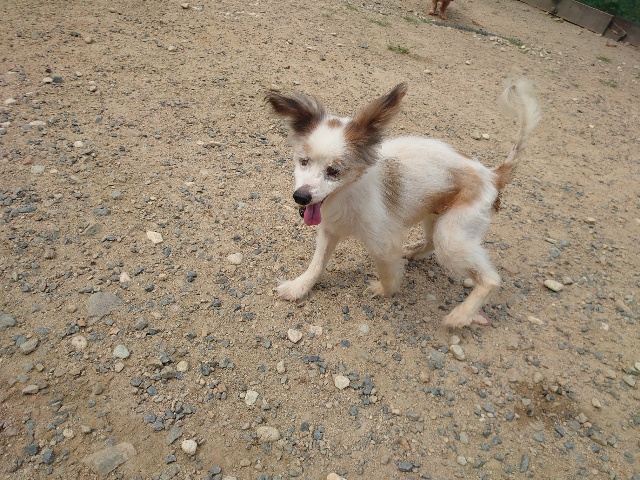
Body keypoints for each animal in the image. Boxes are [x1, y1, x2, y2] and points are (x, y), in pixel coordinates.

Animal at [266, 79, 540, 328]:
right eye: (303, 161)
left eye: (334, 171)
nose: (301, 197)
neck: (348, 192)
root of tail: (492, 175)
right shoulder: (329, 229)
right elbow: (317, 263)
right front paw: (299, 287)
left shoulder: (384, 242)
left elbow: (388, 272)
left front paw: (384, 290)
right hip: (436, 217)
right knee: (431, 242)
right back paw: (414, 252)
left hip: (453, 236)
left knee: (491, 278)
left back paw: (461, 315)